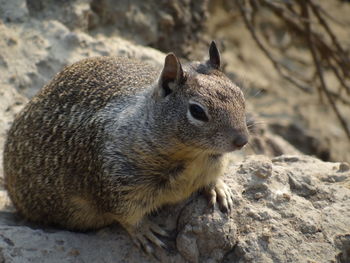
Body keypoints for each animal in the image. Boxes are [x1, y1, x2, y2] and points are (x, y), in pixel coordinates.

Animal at [2, 42, 249, 255]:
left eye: (241, 95)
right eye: (197, 111)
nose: (243, 140)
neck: (193, 156)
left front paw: (218, 188)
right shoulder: (116, 182)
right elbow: (127, 215)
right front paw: (144, 231)